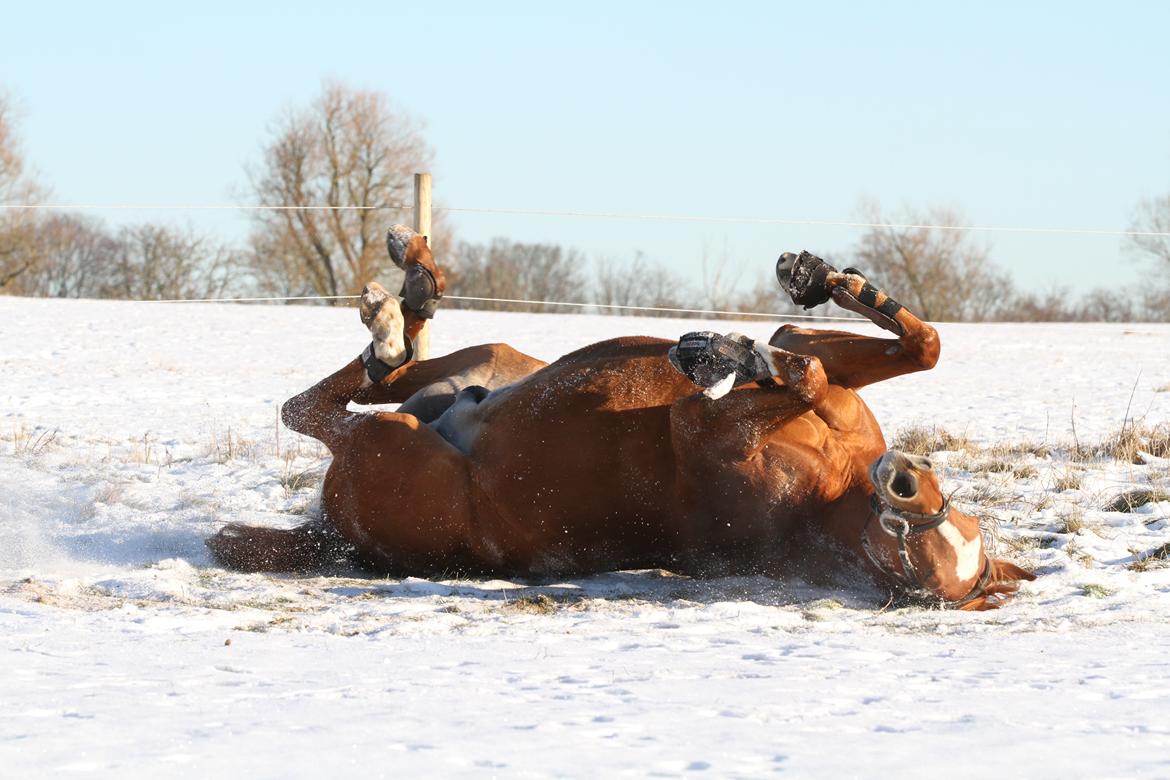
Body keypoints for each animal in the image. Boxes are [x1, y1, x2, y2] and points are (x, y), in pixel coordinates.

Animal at [210, 225, 1034, 608]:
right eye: (950, 513)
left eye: (915, 561)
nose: (906, 477)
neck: (830, 494)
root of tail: (327, 532)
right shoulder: (827, 381)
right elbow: (908, 346)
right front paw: (820, 280)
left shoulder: (703, 429)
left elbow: (795, 371)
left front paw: (721, 354)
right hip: (483, 362)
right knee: (368, 378)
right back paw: (410, 288)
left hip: (393, 442)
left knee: (318, 411)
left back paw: (390, 315)